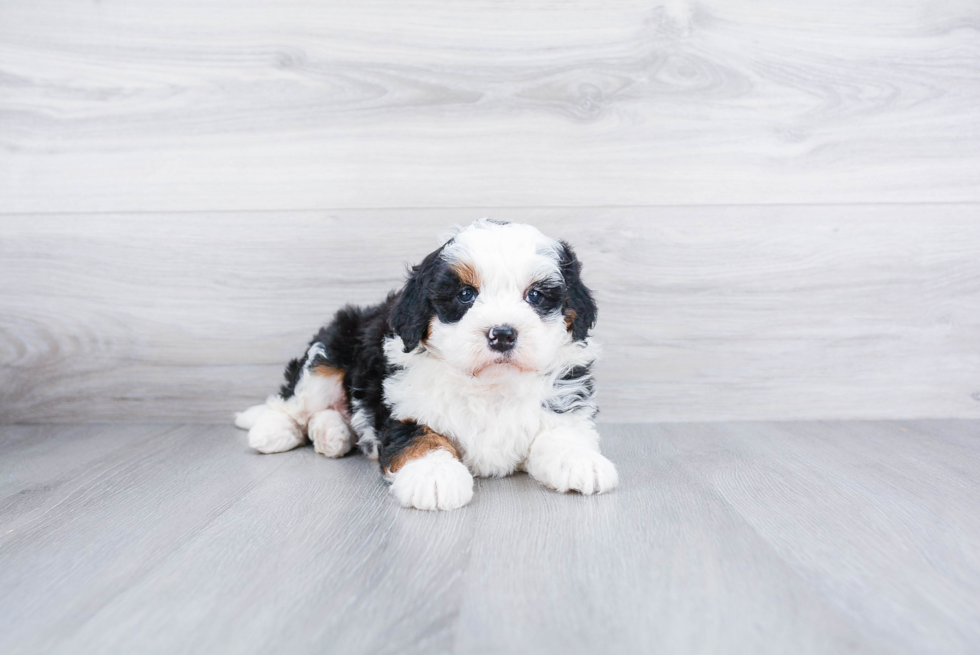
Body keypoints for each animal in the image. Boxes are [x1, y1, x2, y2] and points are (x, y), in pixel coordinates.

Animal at [234, 220, 616, 512]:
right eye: (465, 295)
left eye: (535, 296)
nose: (502, 334)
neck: (489, 385)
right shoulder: (403, 406)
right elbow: (421, 438)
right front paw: (434, 477)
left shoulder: (564, 400)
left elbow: (563, 433)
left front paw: (581, 462)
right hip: (327, 355)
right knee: (294, 402)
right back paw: (273, 431)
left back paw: (332, 434)